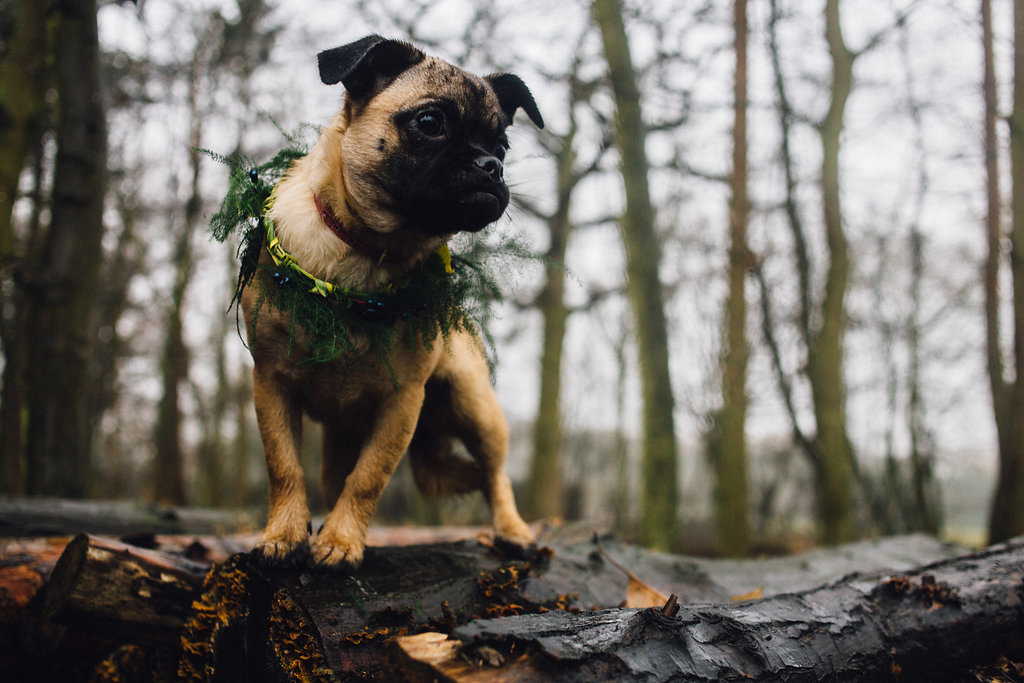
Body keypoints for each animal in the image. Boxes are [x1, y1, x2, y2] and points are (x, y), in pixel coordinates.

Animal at [241, 33, 544, 573]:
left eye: (503, 146)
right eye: (429, 123)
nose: (491, 166)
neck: (366, 254)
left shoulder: (402, 402)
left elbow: (369, 479)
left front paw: (341, 542)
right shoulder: (272, 382)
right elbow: (284, 466)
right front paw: (284, 536)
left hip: (475, 406)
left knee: (494, 475)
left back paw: (513, 531)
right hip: (345, 438)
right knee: (334, 478)